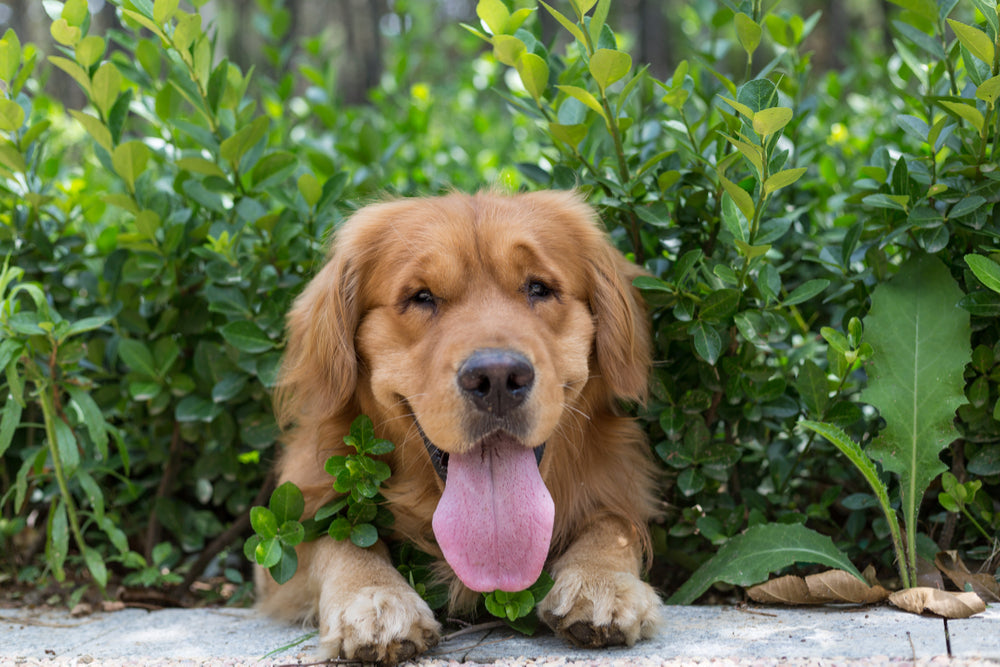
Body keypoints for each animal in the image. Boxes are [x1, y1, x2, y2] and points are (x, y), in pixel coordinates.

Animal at [258, 188, 664, 664]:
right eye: (421, 297)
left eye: (539, 288)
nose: (498, 378)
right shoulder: (290, 532)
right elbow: (334, 540)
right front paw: (374, 596)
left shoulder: (618, 482)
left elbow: (614, 523)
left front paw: (601, 580)